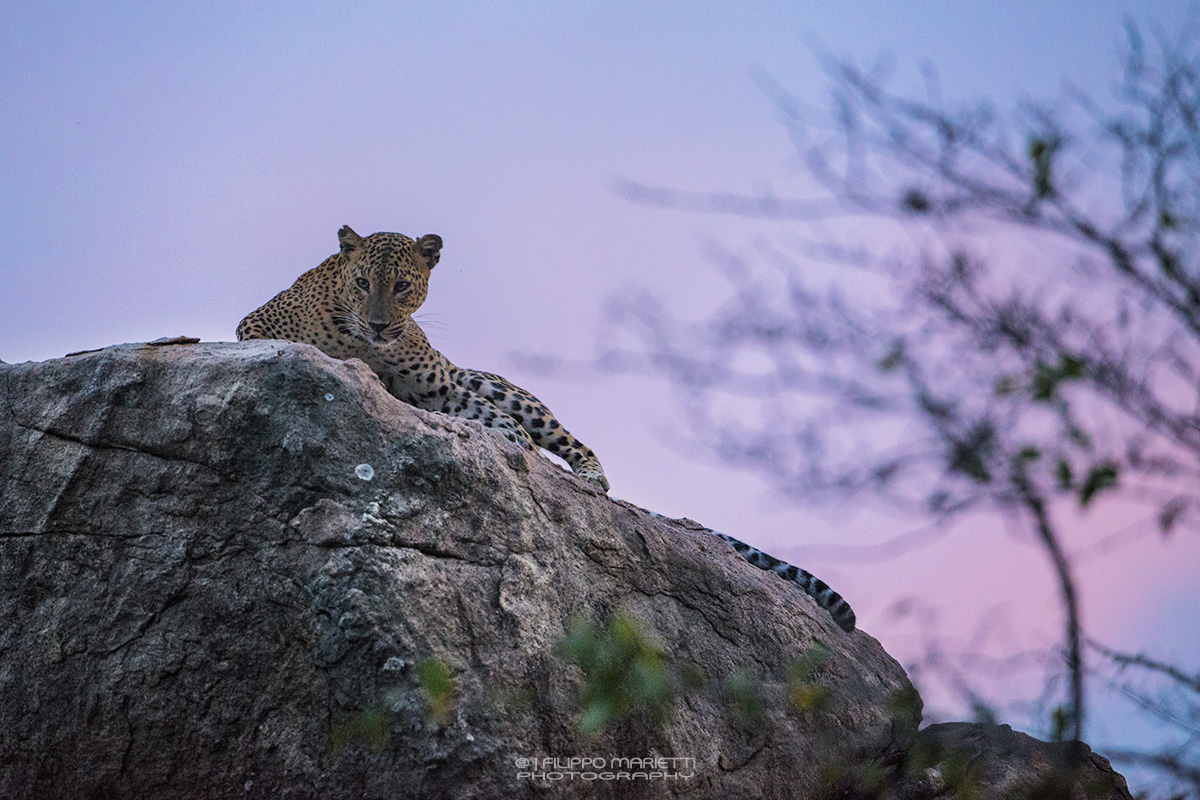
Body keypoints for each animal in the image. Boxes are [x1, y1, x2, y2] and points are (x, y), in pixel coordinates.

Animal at [237, 225, 855, 632]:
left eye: (404, 285)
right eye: (363, 281)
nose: (381, 324)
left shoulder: (441, 388)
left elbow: (503, 424)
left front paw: (511, 448)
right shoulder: (254, 330)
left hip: (491, 382)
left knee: (559, 435)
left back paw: (587, 477)